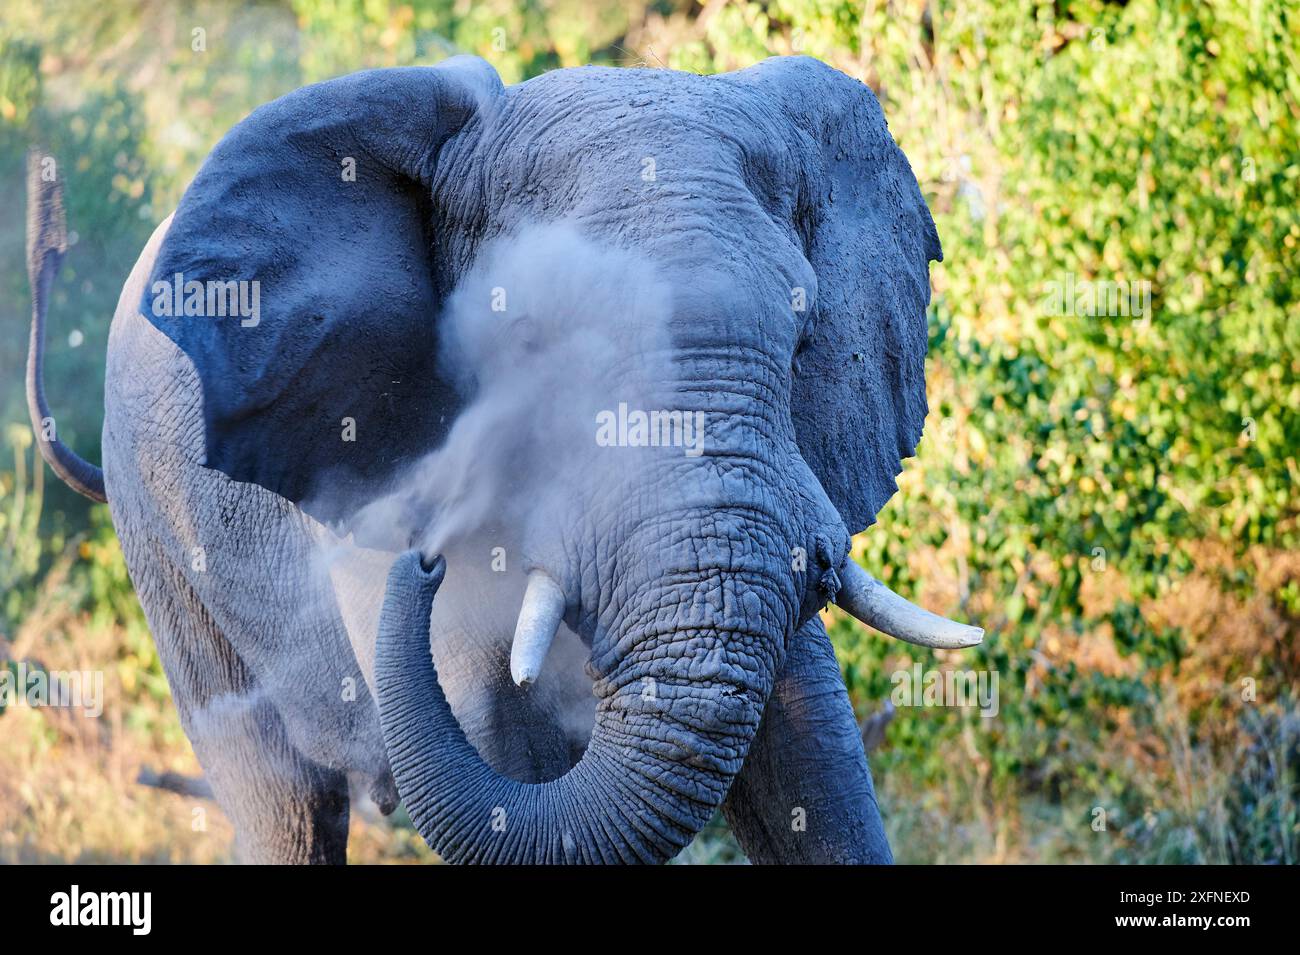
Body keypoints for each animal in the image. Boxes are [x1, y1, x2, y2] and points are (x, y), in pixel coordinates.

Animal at [25, 52, 977, 867]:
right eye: (531, 346)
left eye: (804, 337)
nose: (425, 561)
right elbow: (495, 751)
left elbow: (810, 755)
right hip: (160, 536)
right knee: (283, 801)